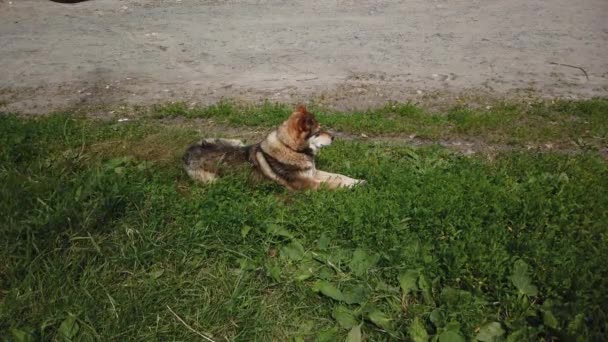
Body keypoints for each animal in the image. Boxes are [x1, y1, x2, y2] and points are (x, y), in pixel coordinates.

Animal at [182, 105, 366, 190]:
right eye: (318, 131)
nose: (334, 137)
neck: (291, 149)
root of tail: (187, 153)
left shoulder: (313, 173)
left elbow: (338, 176)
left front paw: (357, 180)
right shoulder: (307, 184)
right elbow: (333, 183)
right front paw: (354, 186)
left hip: (237, 141)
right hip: (212, 181)